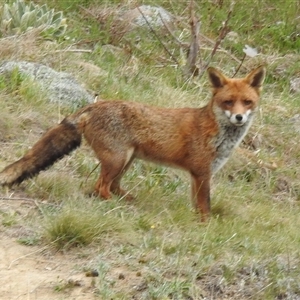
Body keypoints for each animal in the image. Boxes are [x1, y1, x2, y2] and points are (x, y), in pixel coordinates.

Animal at [0, 66, 264, 220]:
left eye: (247, 102)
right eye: (228, 102)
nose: (239, 118)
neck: (219, 135)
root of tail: (94, 105)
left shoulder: (198, 176)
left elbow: (197, 205)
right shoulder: (201, 173)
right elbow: (205, 206)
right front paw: (205, 226)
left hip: (127, 160)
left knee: (111, 186)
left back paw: (127, 201)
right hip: (118, 159)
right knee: (100, 187)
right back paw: (117, 206)